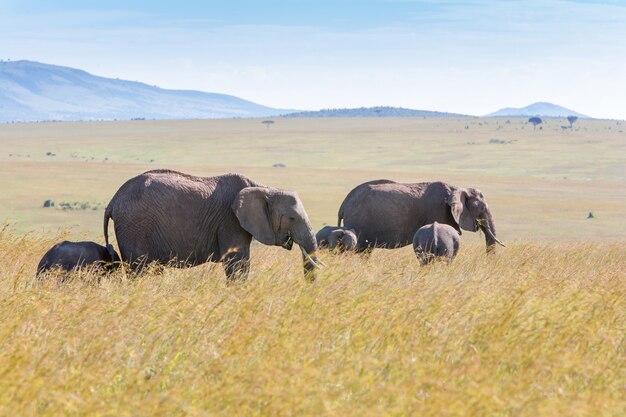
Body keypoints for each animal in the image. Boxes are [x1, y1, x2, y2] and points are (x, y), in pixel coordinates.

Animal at [104, 168, 320, 280]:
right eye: (292, 218)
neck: (265, 188)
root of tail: (113, 199)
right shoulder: (230, 221)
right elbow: (237, 264)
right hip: (134, 227)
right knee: (139, 270)